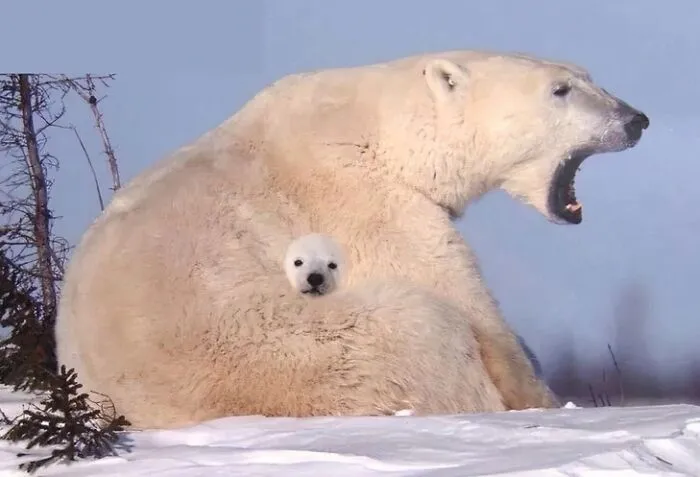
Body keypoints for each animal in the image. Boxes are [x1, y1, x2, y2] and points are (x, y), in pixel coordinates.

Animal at [54, 49, 648, 429]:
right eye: (560, 89)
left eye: (587, 76)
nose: (636, 119)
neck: (381, 130)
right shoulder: (364, 200)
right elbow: (466, 304)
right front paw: (546, 401)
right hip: (304, 354)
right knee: (424, 325)